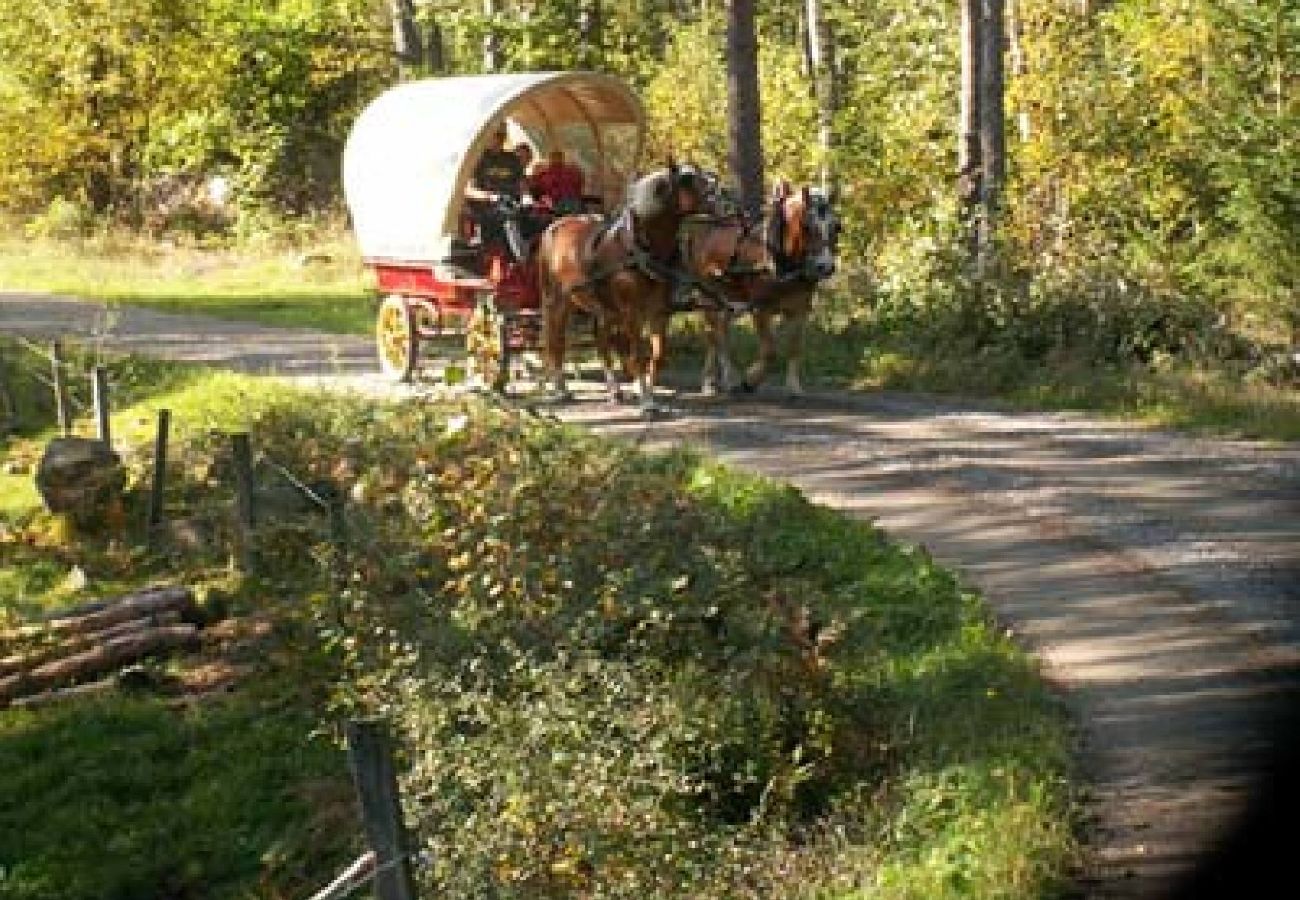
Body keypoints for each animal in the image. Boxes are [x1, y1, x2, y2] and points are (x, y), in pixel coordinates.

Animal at [535, 164, 707, 410]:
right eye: (688, 181)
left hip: (602, 307)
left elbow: (657, 355)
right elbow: (636, 354)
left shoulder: (659, 310)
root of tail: (555, 226)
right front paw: (646, 401)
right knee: (556, 342)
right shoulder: (631, 311)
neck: (639, 248)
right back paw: (561, 390)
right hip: (557, 300)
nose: (725, 199)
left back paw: (614, 390)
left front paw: (647, 392)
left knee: (602, 341)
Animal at [702, 180, 842, 395]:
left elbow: (794, 347)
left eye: (837, 227)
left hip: (731, 300)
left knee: (721, 332)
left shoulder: (800, 309)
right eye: (807, 226)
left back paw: (724, 378)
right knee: (713, 335)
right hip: (709, 297)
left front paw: (793, 386)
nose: (825, 266)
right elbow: (770, 351)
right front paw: (750, 380)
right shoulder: (760, 309)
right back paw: (716, 380)